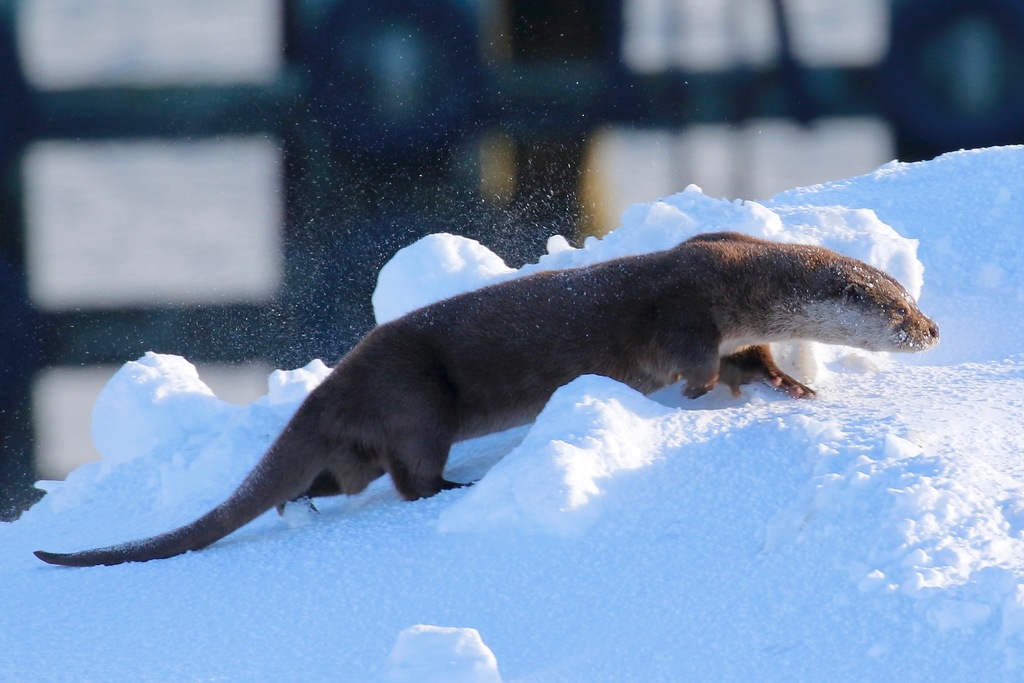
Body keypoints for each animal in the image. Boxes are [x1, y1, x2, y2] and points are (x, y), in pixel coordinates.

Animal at [34, 232, 938, 567]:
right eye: (898, 310)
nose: (931, 329)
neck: (740, 274)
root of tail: (329, 388)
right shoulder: (686, 310)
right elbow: (699, 367)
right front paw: (693, 396)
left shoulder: (732, 327)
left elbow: (752, 362)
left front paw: (793, 381)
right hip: (416, 400)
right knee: (409, 477)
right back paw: (451, 488)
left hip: (358, 442)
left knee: (338, 478)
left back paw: (305, 504)